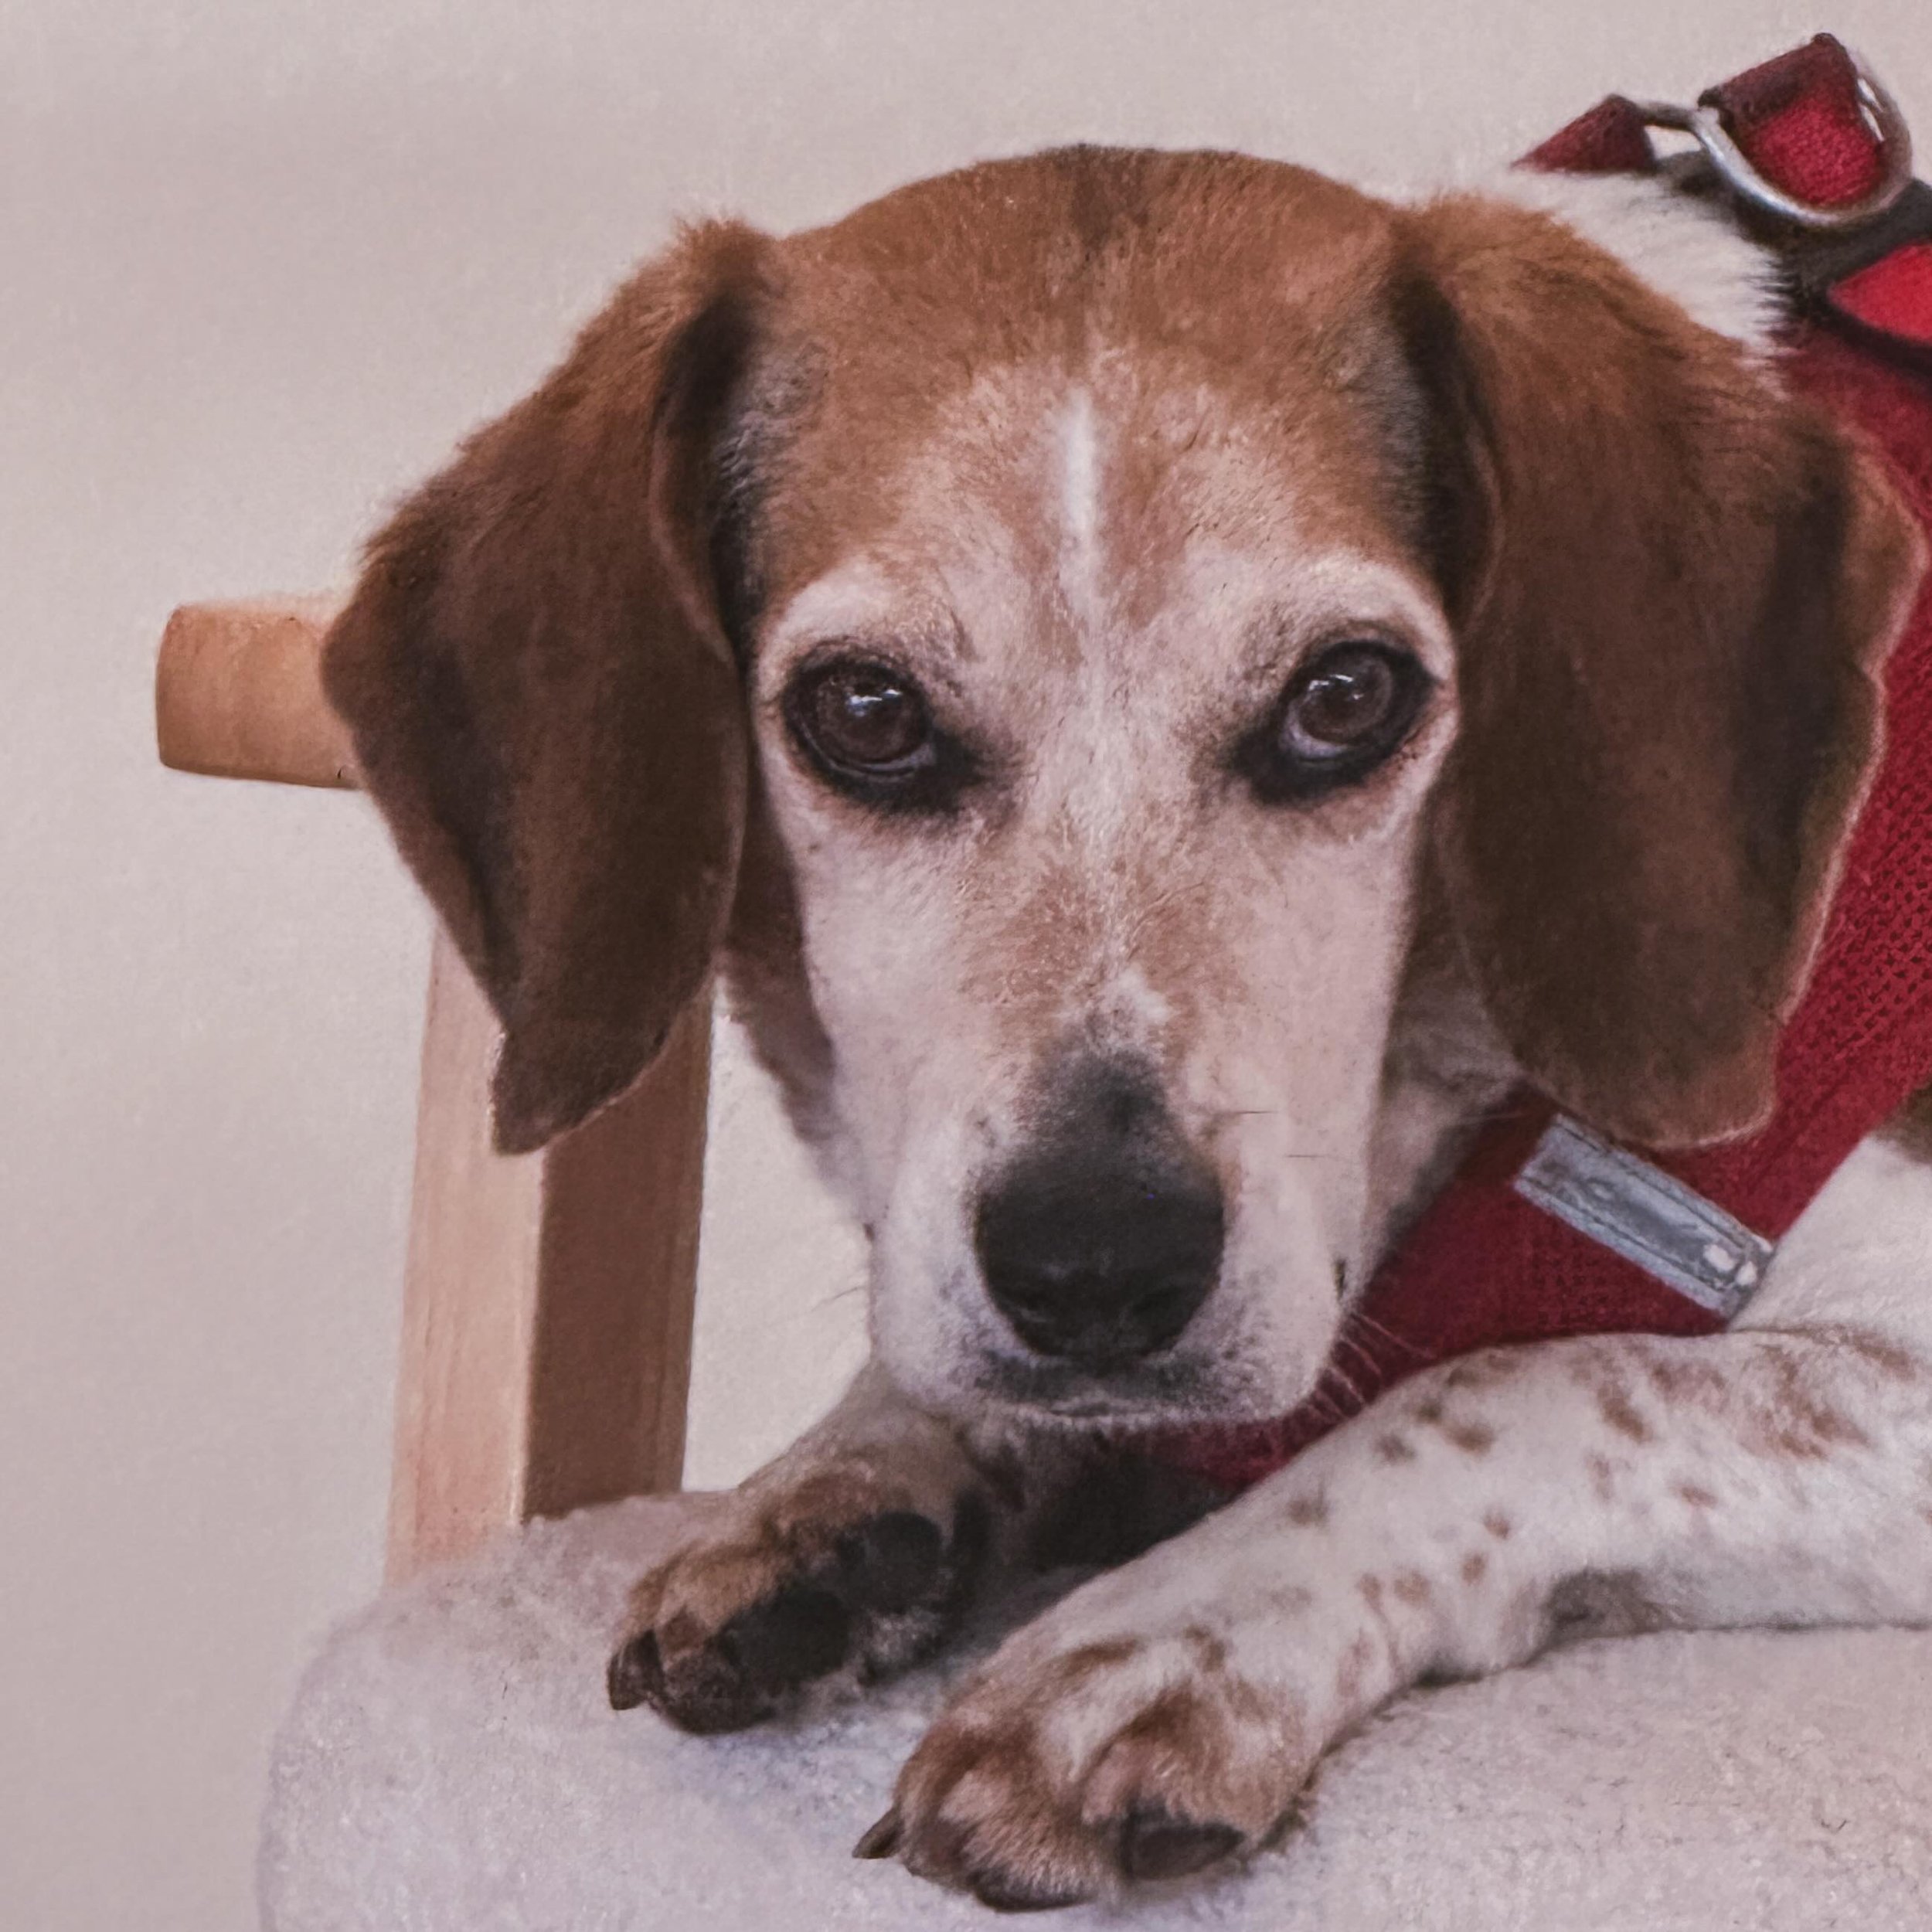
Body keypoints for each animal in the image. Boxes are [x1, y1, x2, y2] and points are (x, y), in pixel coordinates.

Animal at [325, 143, 1924, 1909]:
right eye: (864, 712)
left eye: (1345, 697)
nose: (1095, 1263)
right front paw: (845, 1486)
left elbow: (1519, 1389)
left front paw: (1169, 1637)